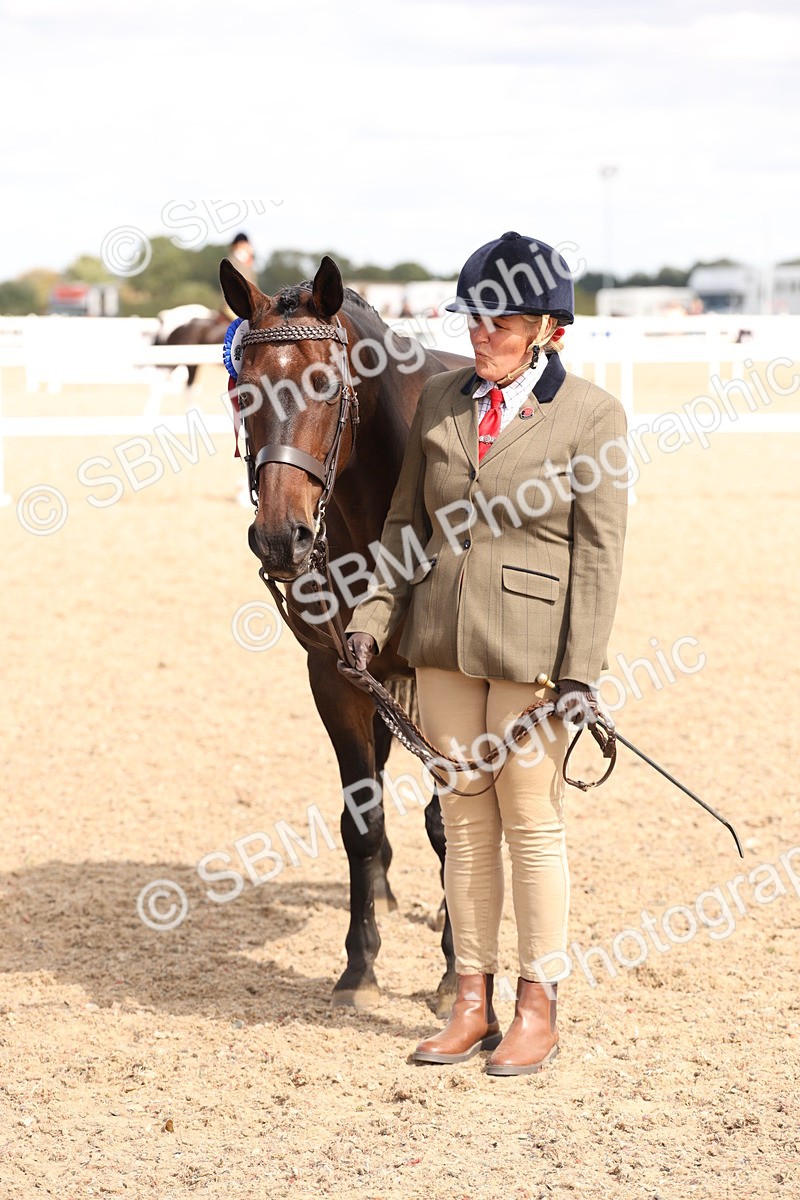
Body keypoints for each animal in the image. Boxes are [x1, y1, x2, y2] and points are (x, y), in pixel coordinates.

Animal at [219, 254, 470, 1013]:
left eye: (326, 384)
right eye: (243, 389)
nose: (281, 537)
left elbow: (449, 822)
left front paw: (455, 970)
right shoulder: (334, 674)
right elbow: (361, 821)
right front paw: (360, 965)